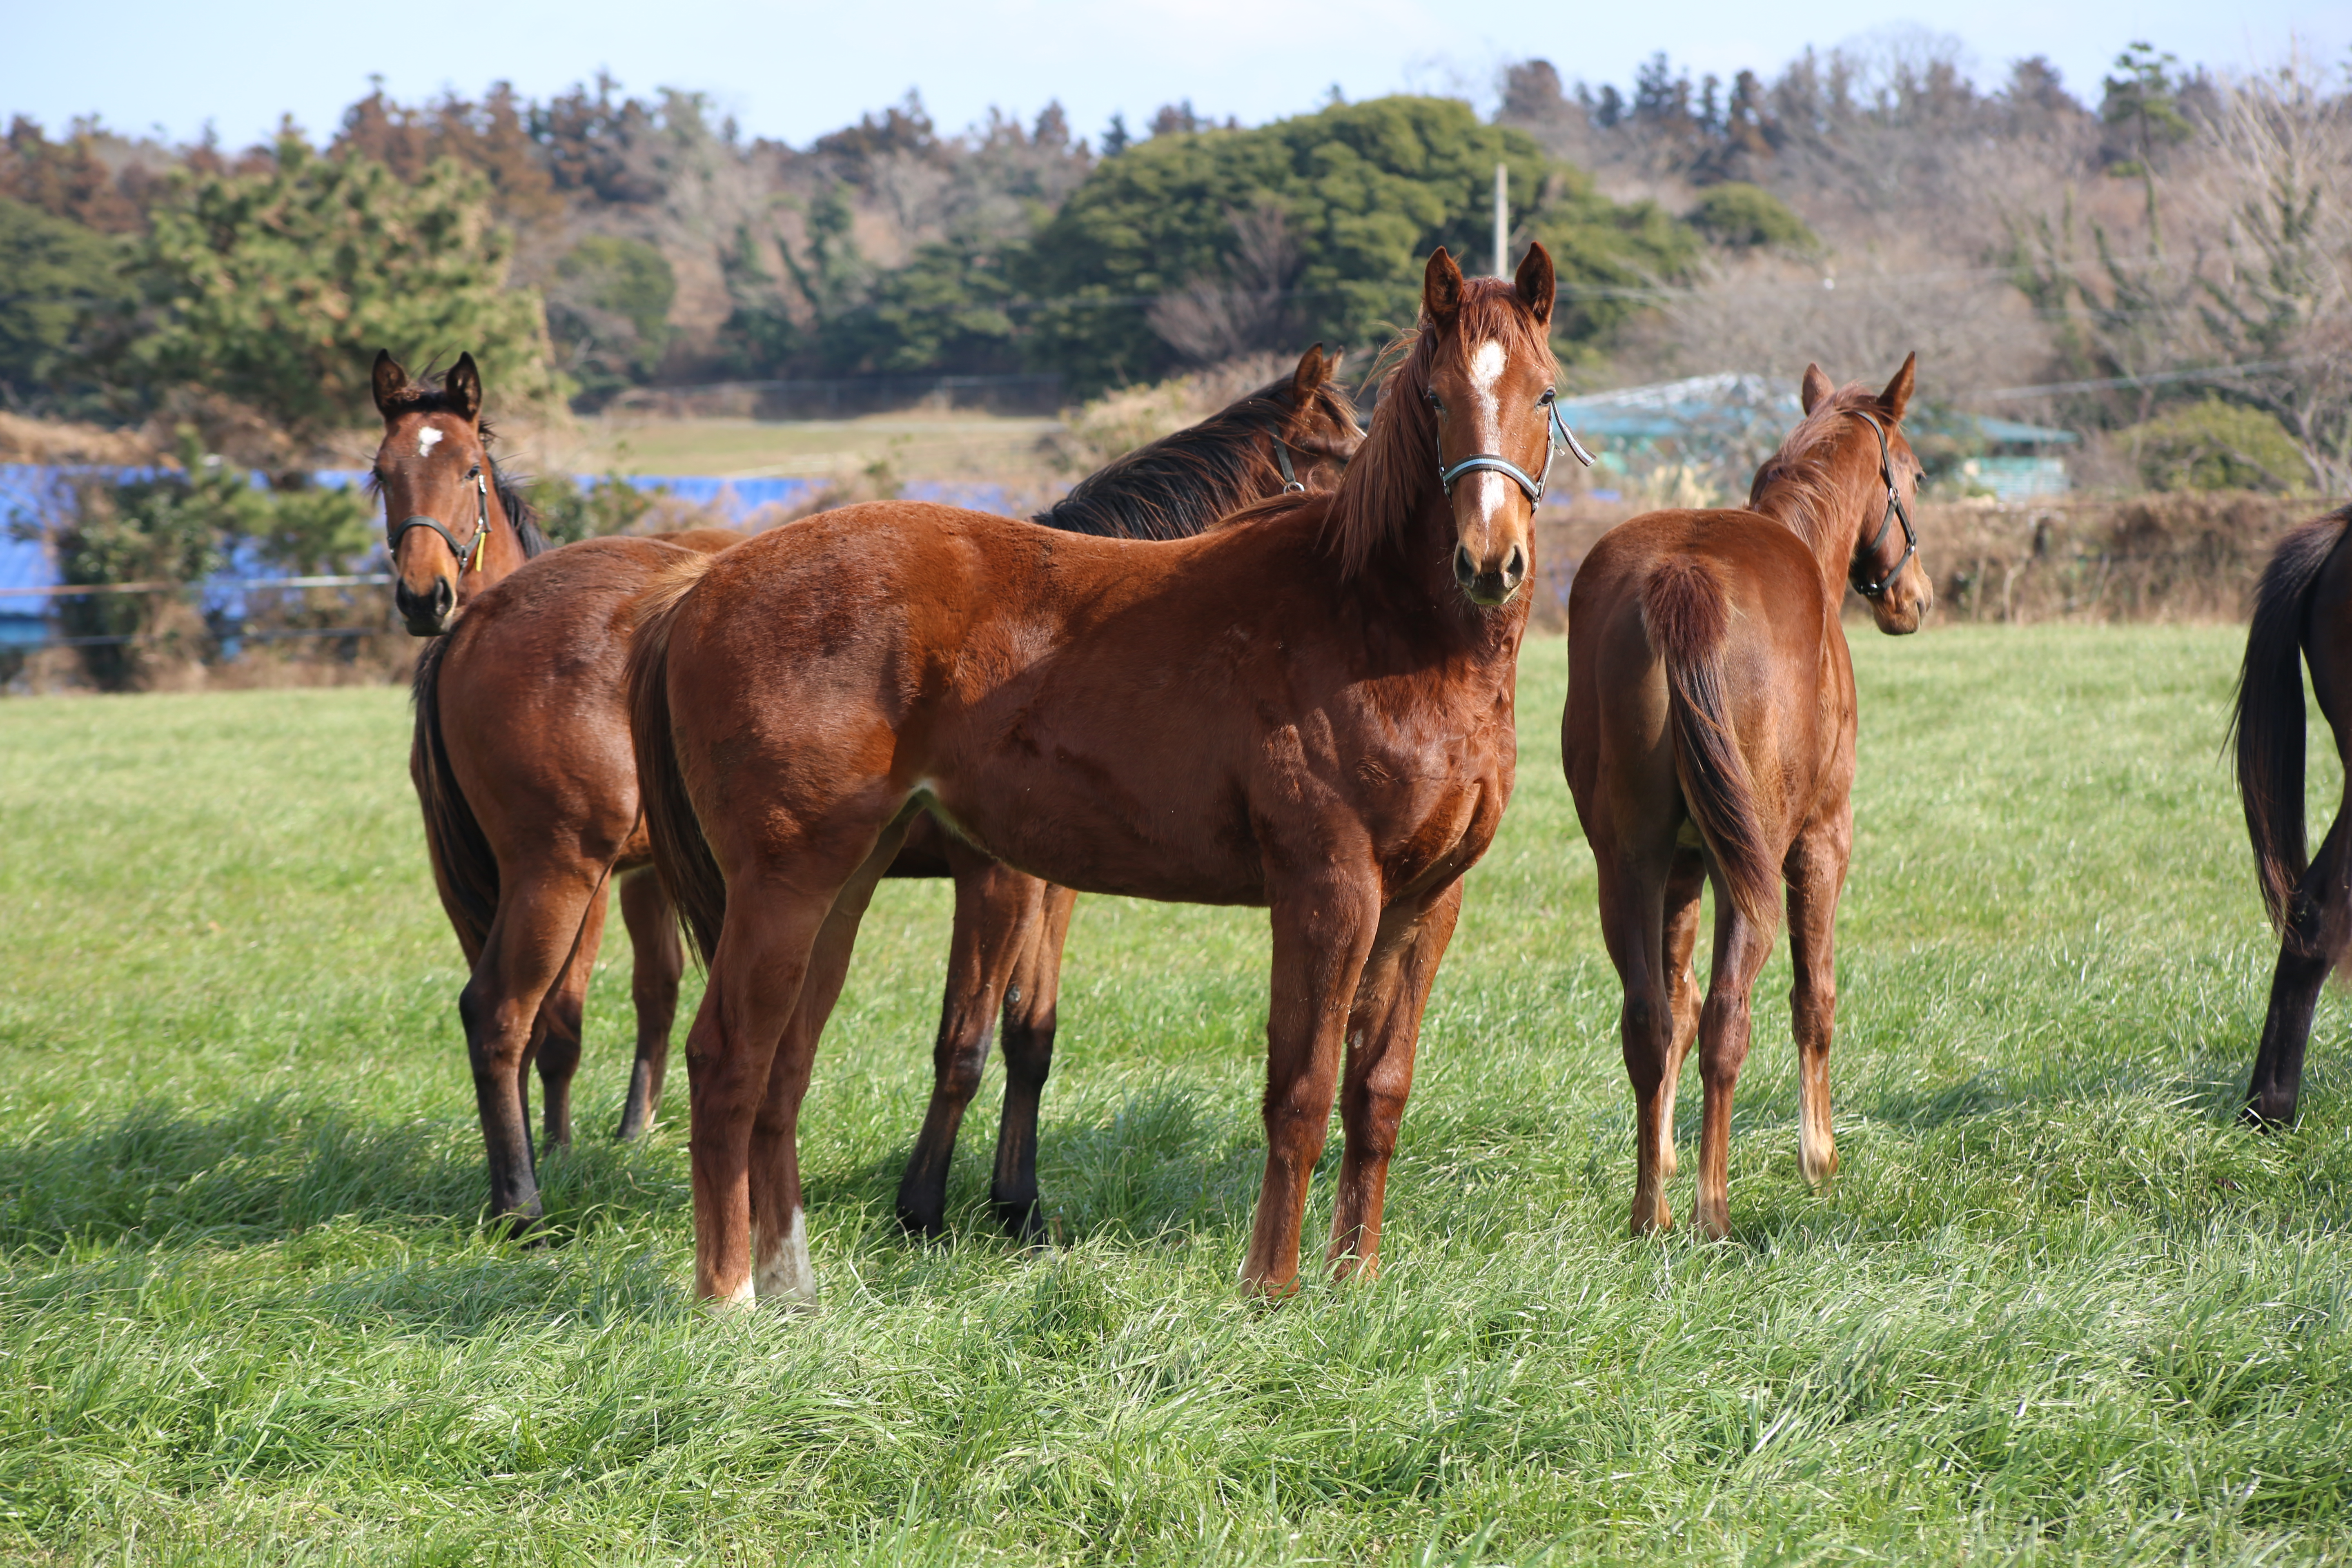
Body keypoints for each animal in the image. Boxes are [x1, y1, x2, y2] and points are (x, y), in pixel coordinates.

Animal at [383, 350, 1364, 1232]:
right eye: (1346, 452)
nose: (420, 593)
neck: (1077, 625)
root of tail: (476, 621)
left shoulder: (1053, 888)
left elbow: (1031, 1038)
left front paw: (1017, 1206)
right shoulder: (996, 881)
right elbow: (964, 1043)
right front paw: (924, 1207)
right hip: (560, 874)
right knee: (502, 1014)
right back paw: (524, 1203)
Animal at [1561, 355, 1929, 1241]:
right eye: (1915, 475)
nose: (1917, 598)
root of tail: (1683, 576)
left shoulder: (1682, 866)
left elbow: (1674, 1005)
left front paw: (1660, 1155)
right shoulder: (1824, 841)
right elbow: (1813, 997)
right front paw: (1819, 1156)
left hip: (1629, 866)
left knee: (1650, 1020)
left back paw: (1652, 1211)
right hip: (1751, 871)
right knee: (1731, 1015)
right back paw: (1713, 1209)